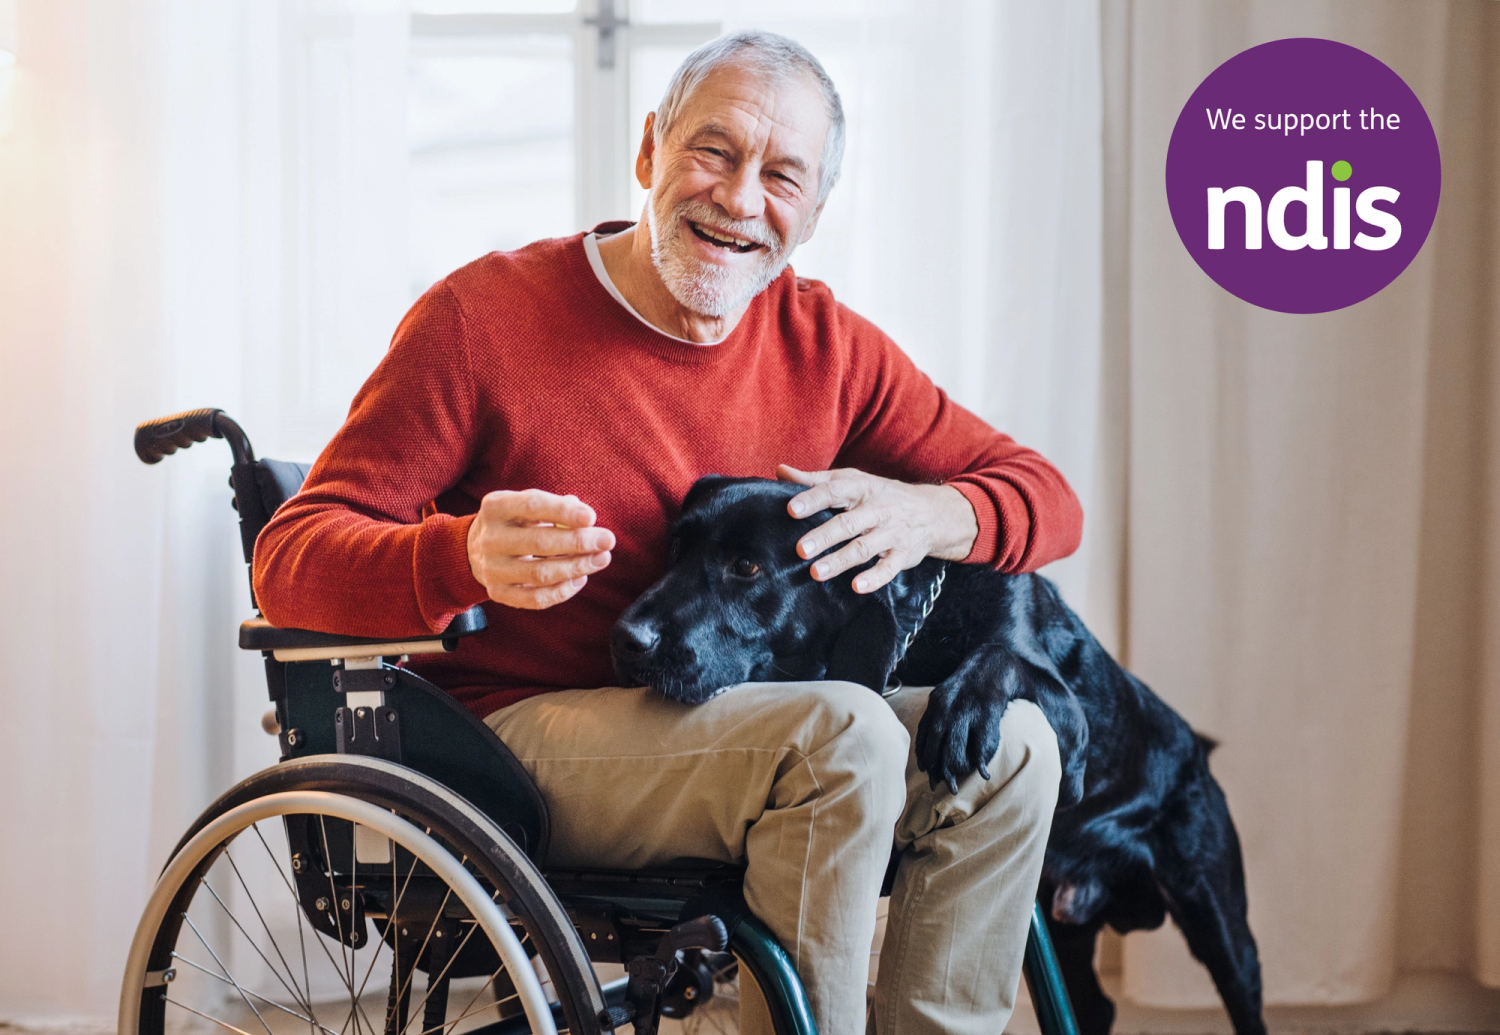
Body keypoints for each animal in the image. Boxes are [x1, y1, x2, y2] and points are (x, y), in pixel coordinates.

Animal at [609, 477, 1266, 1032]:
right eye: (675, 551)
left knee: (1242, 991)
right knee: (1096, 1005)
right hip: (1063, 925)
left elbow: (999, 656)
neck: (923, 631)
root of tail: (1201, 753)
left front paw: (960, 713)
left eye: (746, 567)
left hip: (1218, 921)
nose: (625, 638)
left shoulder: (1070, 716)